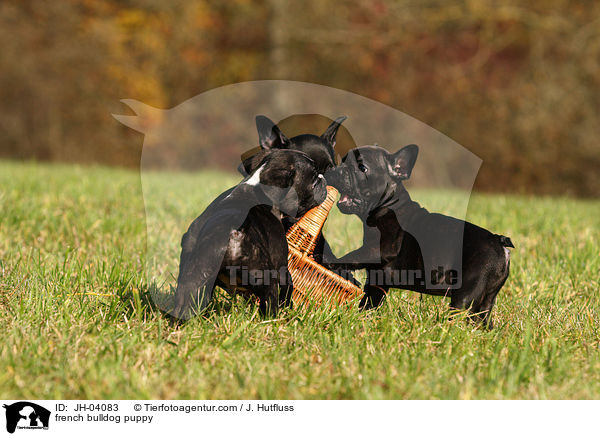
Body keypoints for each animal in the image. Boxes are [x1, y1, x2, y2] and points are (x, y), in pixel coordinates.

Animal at [171, 150, 326, 320]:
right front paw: (289, 308)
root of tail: (233, 234)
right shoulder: (282, 266)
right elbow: (288, 289)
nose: (323, 179)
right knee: (271, 302)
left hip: (192, 279)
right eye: (313, 179)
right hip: (268, 279)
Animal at [326, 145, 512, 328]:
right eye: (343, 161)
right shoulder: (377, 282)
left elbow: (353, 256)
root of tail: (499, 242)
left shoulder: (379, 249)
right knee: (483, 319)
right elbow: (368, 303)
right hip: (487, 298)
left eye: (362, 168)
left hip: (466, 293)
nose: (336, 170)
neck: (387, 206)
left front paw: (329, 262)